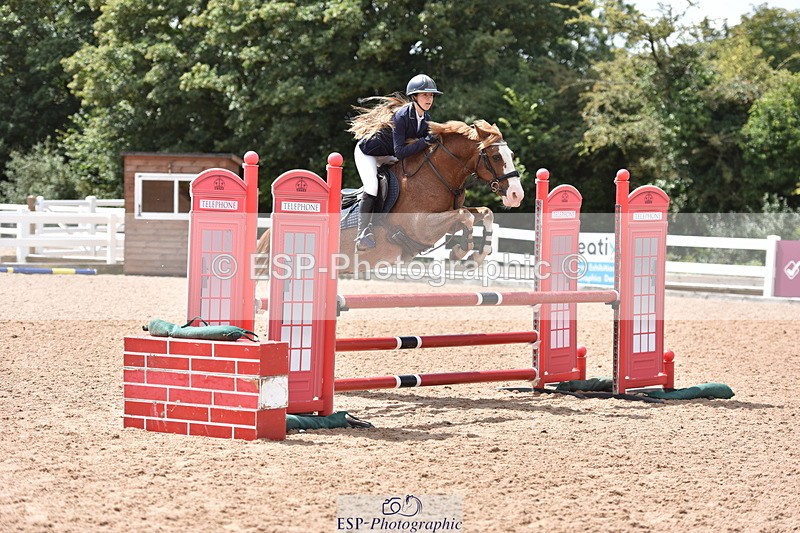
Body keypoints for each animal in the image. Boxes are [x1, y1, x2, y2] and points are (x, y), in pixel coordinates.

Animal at [255, 119, 524, 272]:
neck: (436, 175)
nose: (516, 195)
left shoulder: (447, 217)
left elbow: (483, 214)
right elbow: (466, 217)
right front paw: (460, 251)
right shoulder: (421, 226)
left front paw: (476, 256)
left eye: (510, 154)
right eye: (496, 157)